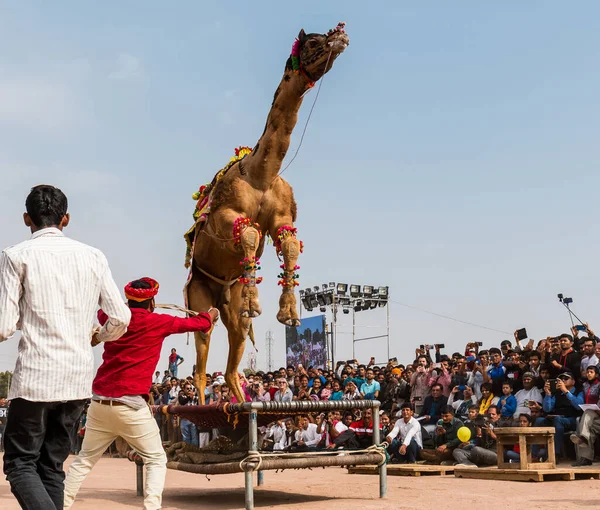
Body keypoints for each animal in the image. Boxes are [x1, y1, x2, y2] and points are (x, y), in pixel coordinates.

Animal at [185, 22, 350, 402]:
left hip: (226, 305)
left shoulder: (283, 219)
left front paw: (287, 313)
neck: (260, 172)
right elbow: (248, 232)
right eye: (313, 42)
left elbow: (288, 245)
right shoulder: (223, 216)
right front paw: (255, 302)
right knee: (201, 362)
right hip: (197, 296)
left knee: (233, 363)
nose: (341, 35)